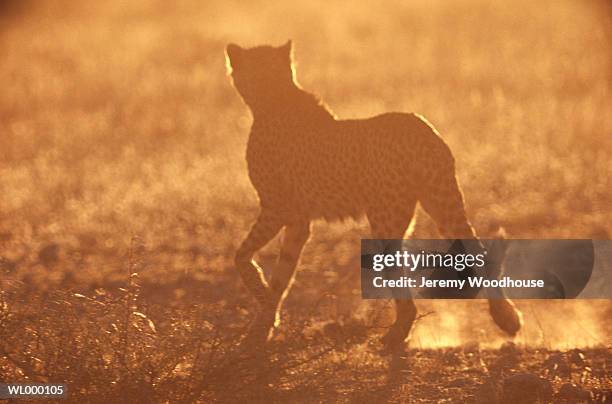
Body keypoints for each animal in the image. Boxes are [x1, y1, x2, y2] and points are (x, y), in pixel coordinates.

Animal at [225, 39, 520, 352]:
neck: (275, 96)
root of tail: (417, 124)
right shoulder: (298, 221)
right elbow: (282, 276)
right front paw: (261, 328)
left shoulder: (277, 208)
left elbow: (241, 256)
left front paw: (261, 308)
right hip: (443, 202)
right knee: (477, 252)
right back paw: (506, 318)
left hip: (385, 218)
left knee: (403, 282)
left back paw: (395, 335)